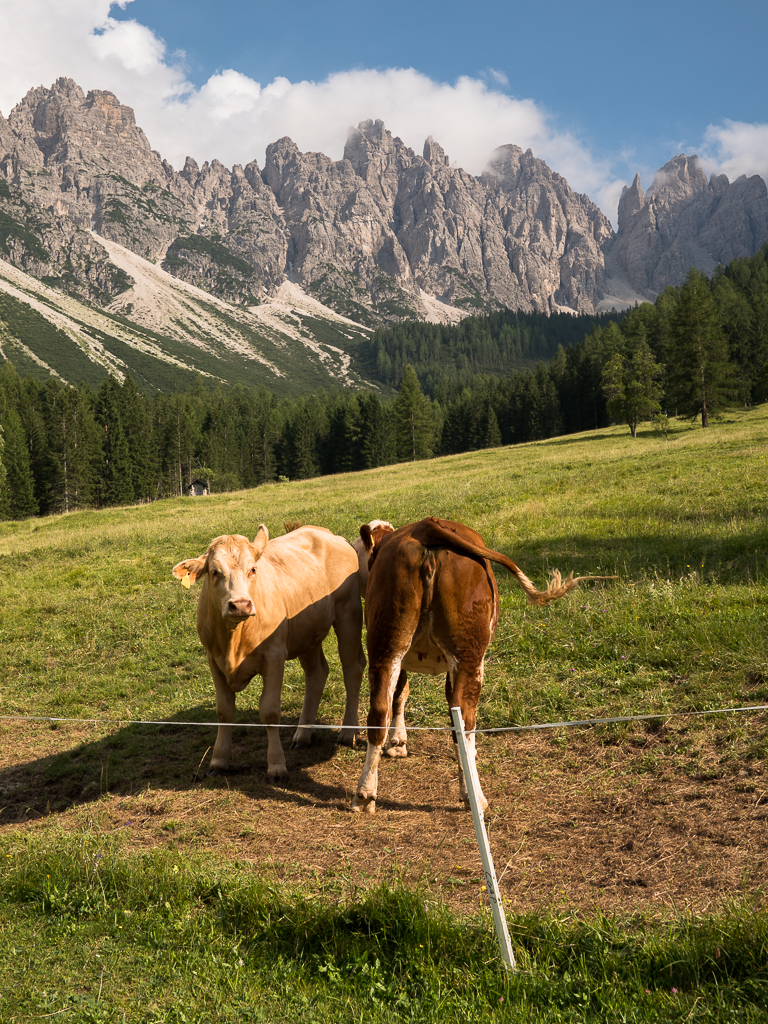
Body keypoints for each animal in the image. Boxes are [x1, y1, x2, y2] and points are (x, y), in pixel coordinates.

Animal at [174, 524, 366, 778]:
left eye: (253, 569)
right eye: (215, 572)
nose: (240, 604)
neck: (235, 637)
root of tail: (326, 533)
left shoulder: (274, 656)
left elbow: (270, 711)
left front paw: (276, 765)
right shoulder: (213, 659)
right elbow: (224, 711)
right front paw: (218, 760)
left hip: (349, 614)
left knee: (352, 668)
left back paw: (348, 731)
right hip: (308, 633)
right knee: (316, 673)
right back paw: (303, 734)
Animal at [354, 520, 614, 815]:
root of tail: (425, 526)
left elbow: (400, 695)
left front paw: (398, 743)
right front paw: (399, 743)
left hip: (386, 647)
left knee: (379, 712)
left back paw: (365, 794)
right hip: (469, 657)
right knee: (464, 721)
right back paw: (474, 796)